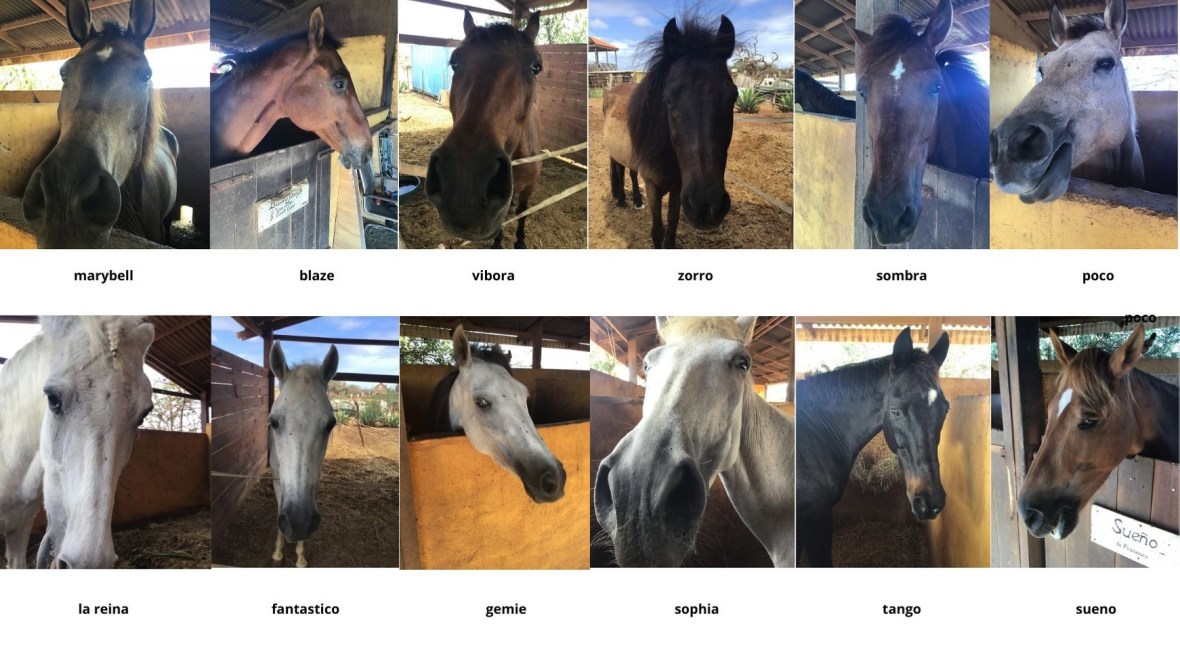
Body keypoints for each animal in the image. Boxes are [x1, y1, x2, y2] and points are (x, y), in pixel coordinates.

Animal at [267, 341, 339, 568]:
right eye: (273, 422)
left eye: (330, 424)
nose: (299, 521)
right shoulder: (278, 480)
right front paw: (278, 553)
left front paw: (300, 557)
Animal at [425, 11, 543, 249]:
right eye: (455, 62)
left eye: (536, 67)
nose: (465, 181)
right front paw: (498, 243)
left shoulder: (530, 188)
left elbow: (523, 212)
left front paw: (520, 241)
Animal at [603, 14, 737, 249]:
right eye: (668, 100)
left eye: (733, 97)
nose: (706, 206)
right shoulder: (653, 188)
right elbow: (658, 230)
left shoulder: (678, 189)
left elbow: (672, 223)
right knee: (618, 169)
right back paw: (620, 199)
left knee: (631, 172)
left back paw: (636, 201)